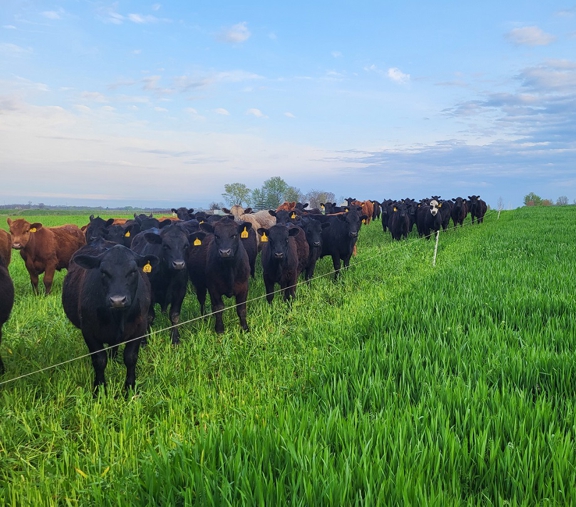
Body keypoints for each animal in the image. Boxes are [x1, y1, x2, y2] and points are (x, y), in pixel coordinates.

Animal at [61, 244, 158, 390]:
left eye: (133, 271)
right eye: (103, 272)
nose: (117, 300)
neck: (118, 317)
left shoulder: (139, 328)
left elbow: (131, 358)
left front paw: (129, 388)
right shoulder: (89, 332)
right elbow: (99, 360)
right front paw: (99, 388)